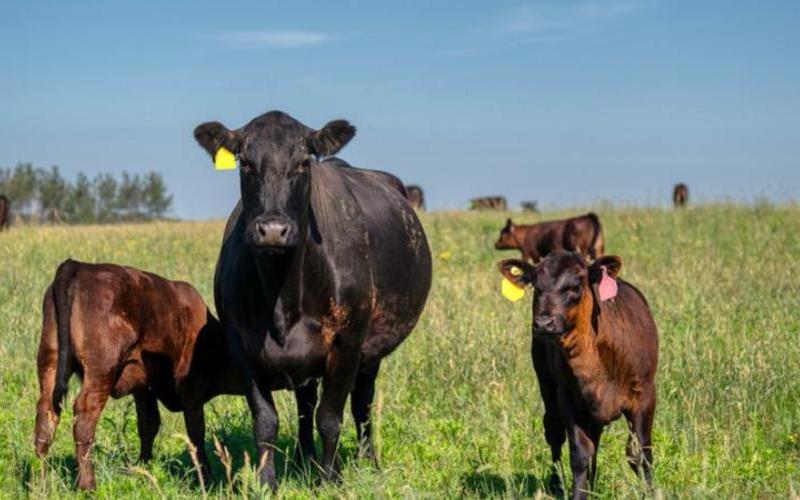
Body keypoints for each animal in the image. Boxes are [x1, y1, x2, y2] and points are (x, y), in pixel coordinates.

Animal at [33, 260, 243, 490]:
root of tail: (79, 266)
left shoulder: (143, 387)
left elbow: (148, 424)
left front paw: (143, 467)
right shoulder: (192, 388)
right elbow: (196, 432)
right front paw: (206, 477)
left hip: (50, 360)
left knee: (47, 413)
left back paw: (39, 482)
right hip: (101, 370)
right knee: (84, 417)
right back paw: (88, 485)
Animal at [193, 110, 432, 489]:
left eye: (303, 162)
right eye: (245, 163)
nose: (273, 230)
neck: (283, 297)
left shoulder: (347, 343)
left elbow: (330, 417)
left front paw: (330, 479)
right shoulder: (241, 345)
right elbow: (266, 420)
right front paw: (267, 482)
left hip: (371, 349)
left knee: (361, 402)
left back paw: (367, 461)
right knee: (306, 402)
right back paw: (305, 458)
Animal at [498, 251, 658, 499]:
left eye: (576, 286)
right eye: (536, 286)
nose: (544, 323)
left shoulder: (645, 393)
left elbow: (640, 452)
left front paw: (650, 492)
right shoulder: (568, 398)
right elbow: (580, 453)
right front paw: (578, 493)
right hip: (546, 383)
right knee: (554, 431)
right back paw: (559, 484)